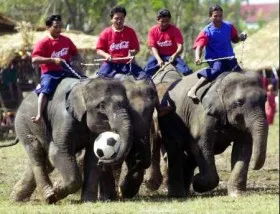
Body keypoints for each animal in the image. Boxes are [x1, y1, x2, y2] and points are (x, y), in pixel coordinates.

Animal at [1, 76, 133, 202]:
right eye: (101, 106)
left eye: (126, 104)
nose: (104, 161)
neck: (84, 85)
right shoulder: (63, 118)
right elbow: (58, 152)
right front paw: (57, 190)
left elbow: (92, 156)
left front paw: (88, 201)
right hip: (24, 124)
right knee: (36, 152)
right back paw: (48, 196)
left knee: (45, 162)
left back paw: (15, 199)